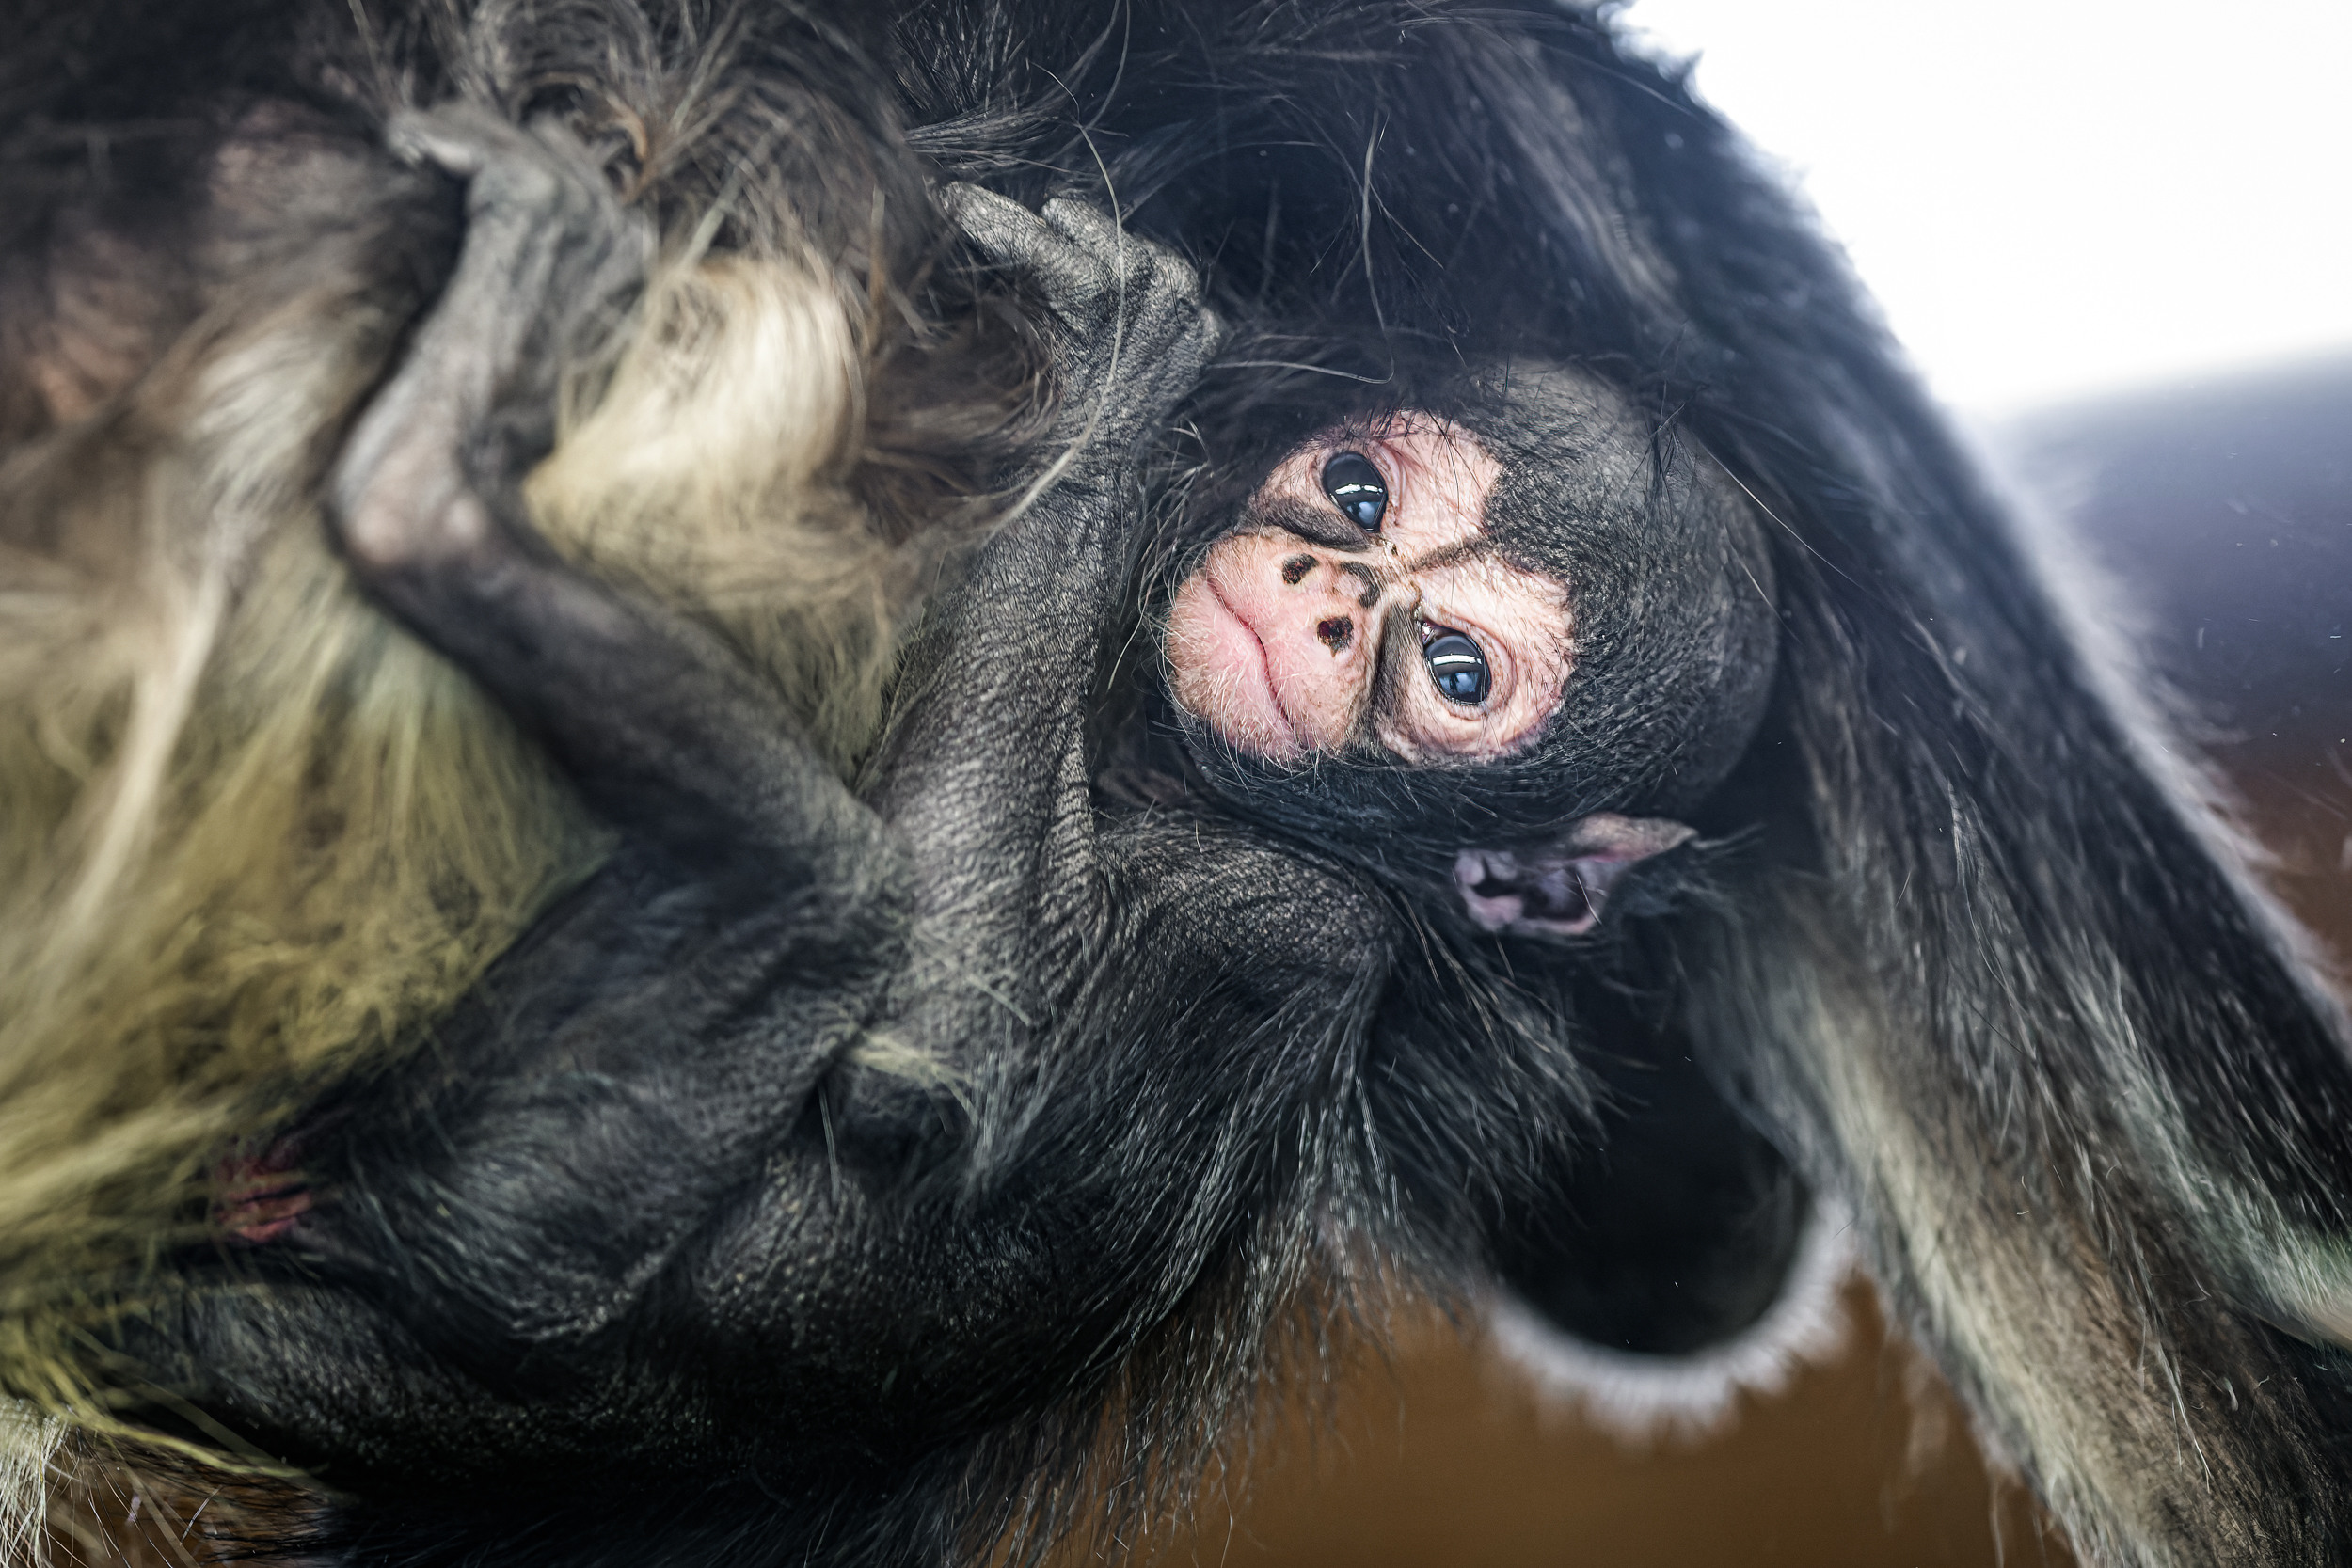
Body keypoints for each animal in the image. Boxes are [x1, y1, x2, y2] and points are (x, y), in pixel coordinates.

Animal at [9, 4, 2352, 1568]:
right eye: (1357, 494)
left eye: (1448, 665)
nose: (1318, 590)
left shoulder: (1288, 915)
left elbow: (930, 1064)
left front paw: (1126, 373)